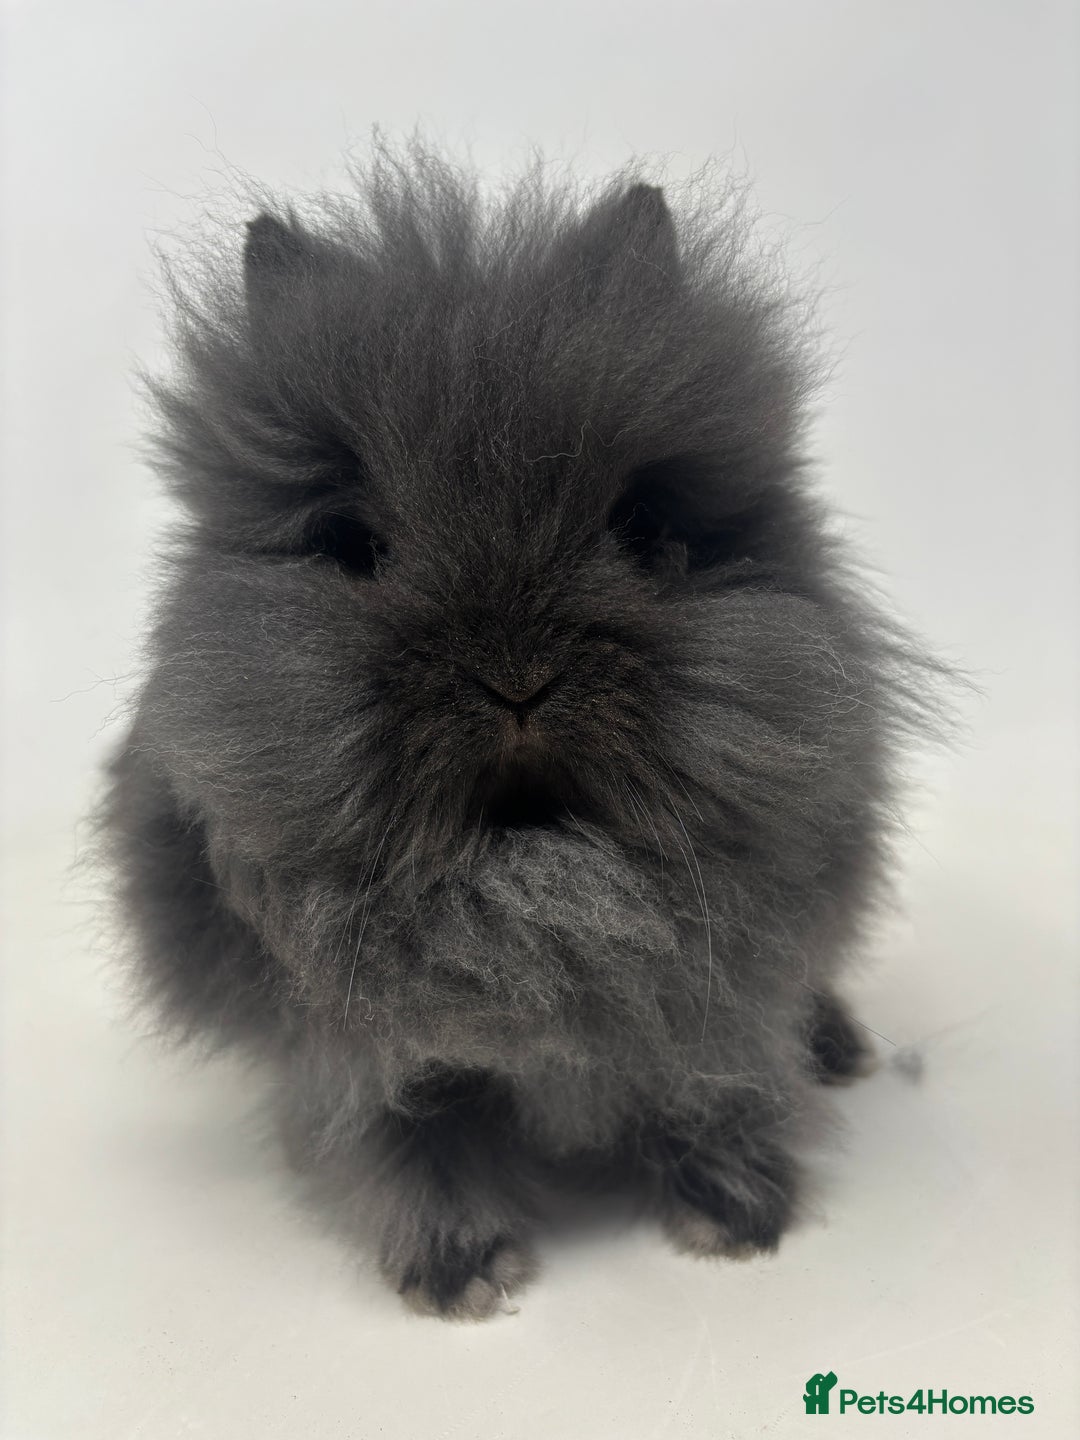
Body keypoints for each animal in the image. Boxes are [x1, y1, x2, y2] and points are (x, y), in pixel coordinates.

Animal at [100, 143, 939, 1319]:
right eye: (352, 545)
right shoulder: (368, 1066)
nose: (516, 681)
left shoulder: (715, 1018)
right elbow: (406, 1146)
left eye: (642, 526)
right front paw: (460, 1272)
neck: (532, 890)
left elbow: (716, 1092)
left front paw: (737, 1216)